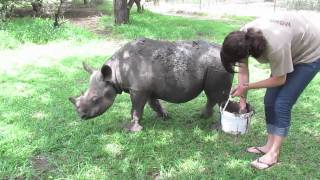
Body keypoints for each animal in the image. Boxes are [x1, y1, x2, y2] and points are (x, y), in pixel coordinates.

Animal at [69, 38, 232, 131]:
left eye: (95, 99)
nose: (81, 116)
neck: (114, 73)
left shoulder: (138, 89)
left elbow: (136, 109)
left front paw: (132, 129)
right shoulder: (145, 88)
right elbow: (153, 103)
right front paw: (164, 116)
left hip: (217, 66)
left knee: (218, 97)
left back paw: (217, 129)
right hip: (213, 66)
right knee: (212, 96)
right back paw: (202, 117)